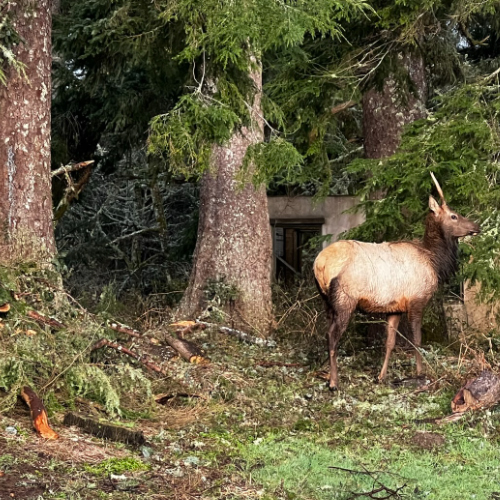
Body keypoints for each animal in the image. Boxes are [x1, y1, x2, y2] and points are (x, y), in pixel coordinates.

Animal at [312, 175, 480, 390]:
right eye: (454, 216)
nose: (476, 227)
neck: (434, 261)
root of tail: (320, 264)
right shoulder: (417, 300)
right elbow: (416, 340)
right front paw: (420, 373)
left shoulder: (395, 308)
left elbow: (390, 342)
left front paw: (381, 376)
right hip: (345, 299)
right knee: (332, 336)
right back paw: (334, 381)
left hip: (326, 301)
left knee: (326, 333)